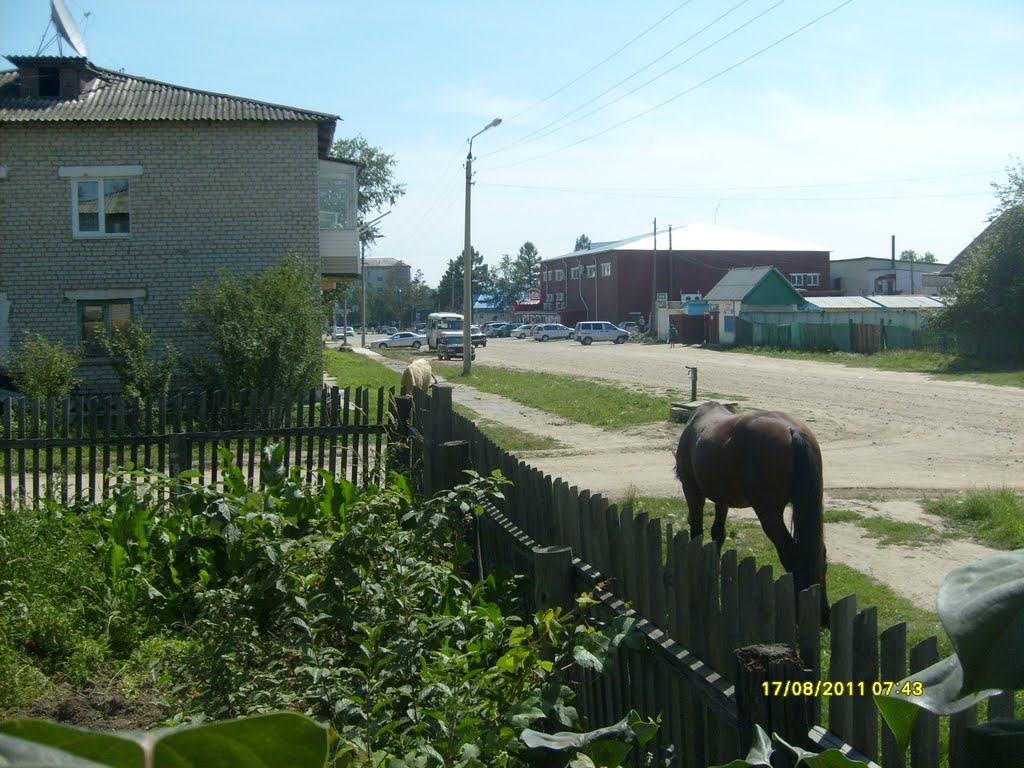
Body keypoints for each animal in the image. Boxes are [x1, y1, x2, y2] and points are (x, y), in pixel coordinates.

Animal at [675, 403, 827, 626]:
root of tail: (792, 430)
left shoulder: (692, 490)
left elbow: (697, 531)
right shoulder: (722, 500)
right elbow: (717, 534)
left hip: (768, 513)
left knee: (791, 553)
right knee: (818, 554)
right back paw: (823, 613)